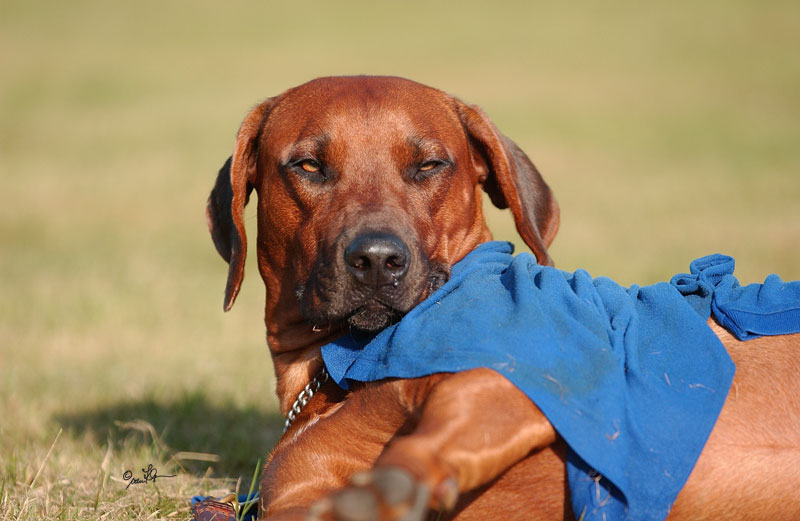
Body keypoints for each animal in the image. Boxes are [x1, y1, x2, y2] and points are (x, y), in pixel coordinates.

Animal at [208, 75, 800, 516]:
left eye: (429, 165)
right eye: (308, 166)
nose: (377, 260)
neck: (341, 368)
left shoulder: (521, 376)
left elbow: (423, 439)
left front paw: (383, 492)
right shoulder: (293, 490)